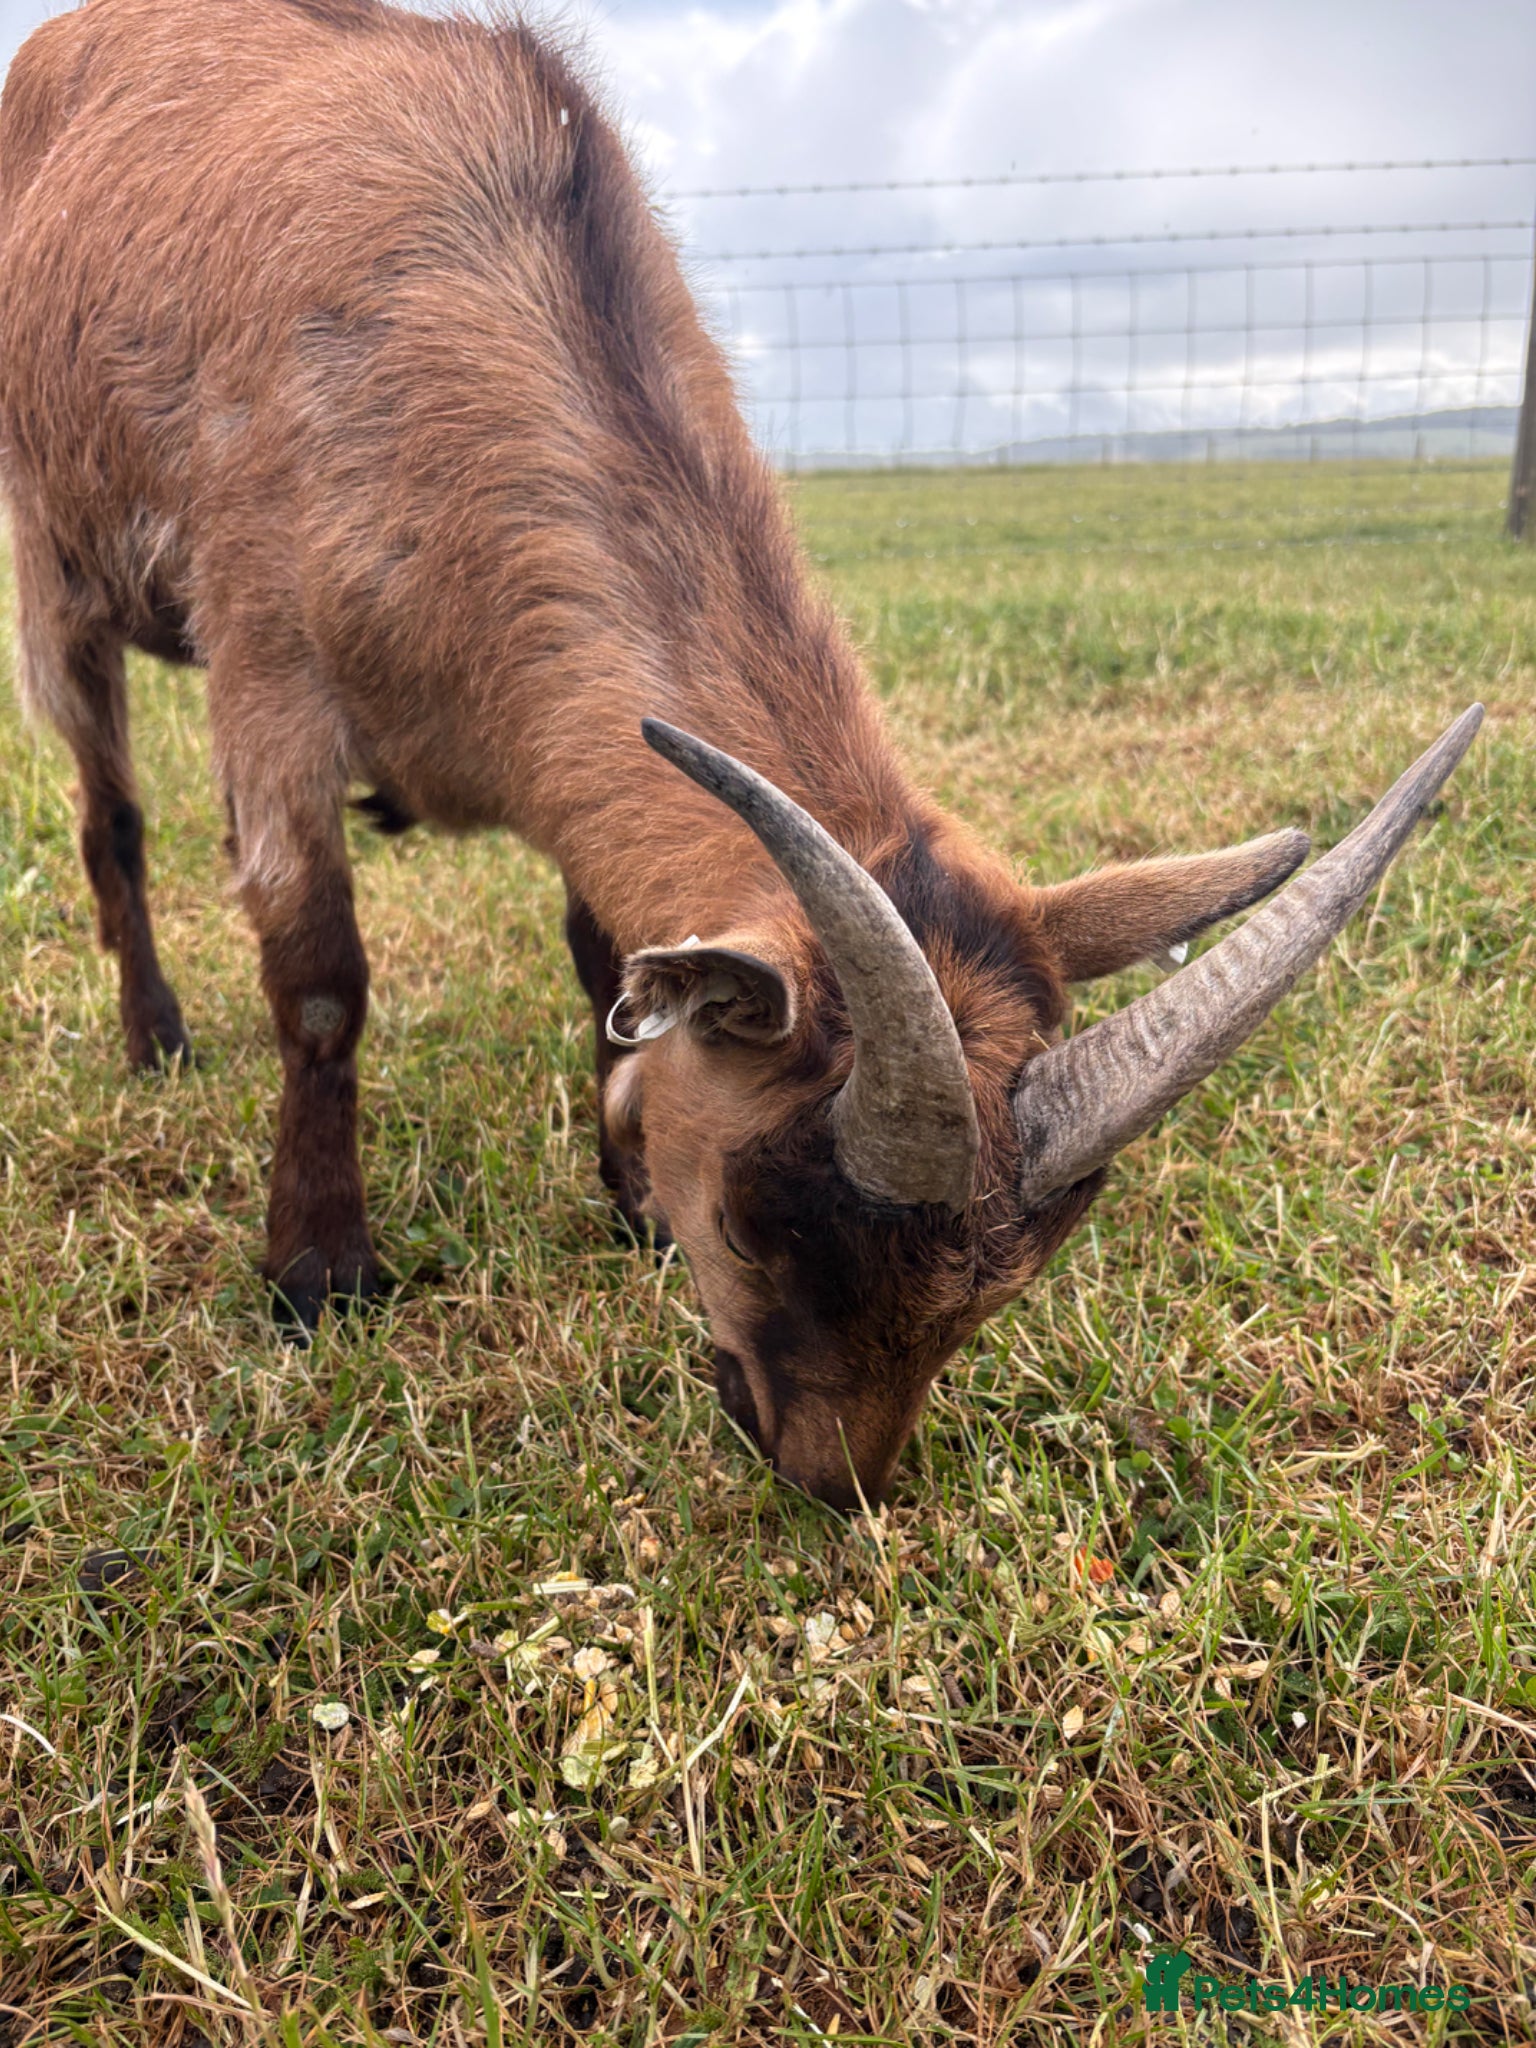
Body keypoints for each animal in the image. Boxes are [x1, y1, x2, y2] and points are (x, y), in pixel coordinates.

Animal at [0, 0, 1480, 1506]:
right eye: (774, 1213)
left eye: (1016, 1271)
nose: (835, 1477)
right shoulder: (269, 666)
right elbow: (317, 983)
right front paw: (317, 1269)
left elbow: (603, 954)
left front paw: (628, 1192)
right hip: (57, 572)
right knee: (112, 818)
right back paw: (158, 1038)